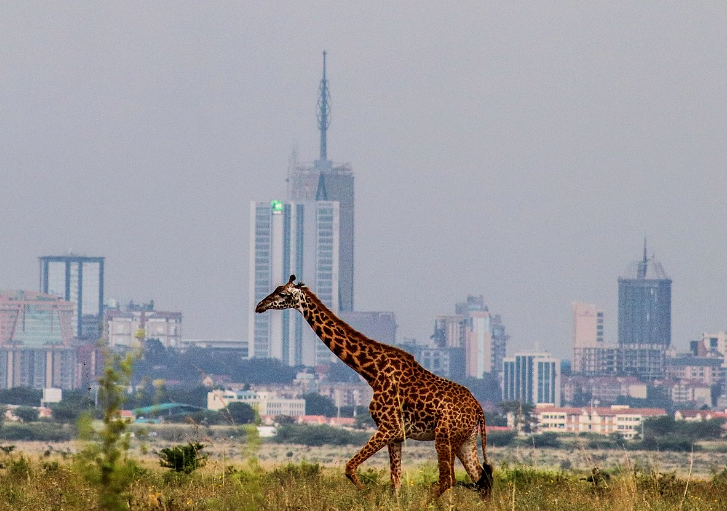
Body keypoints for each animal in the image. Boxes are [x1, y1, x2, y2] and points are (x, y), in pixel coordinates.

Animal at [255, 274, 494, 498]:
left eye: (283, 294)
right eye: (275, 289)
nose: (260, 306)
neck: (372, 372)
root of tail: (478, 409)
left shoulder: (389, 427)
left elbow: (350, 468)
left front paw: (366, 494)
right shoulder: (396, 435)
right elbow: (395, 482)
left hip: (444, 436)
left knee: (448, 479)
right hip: (465, 439)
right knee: (481, 479)